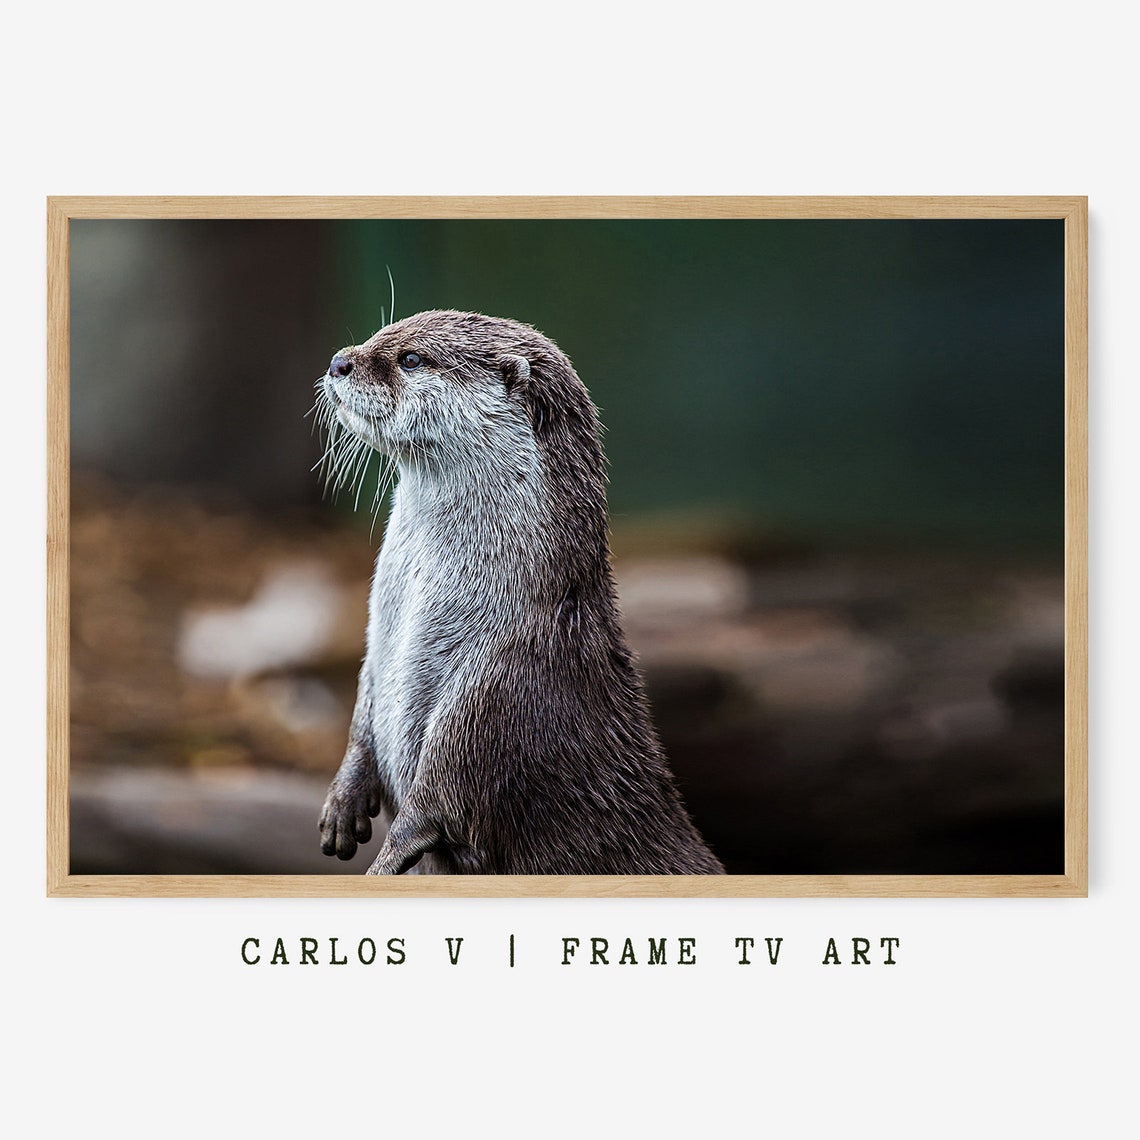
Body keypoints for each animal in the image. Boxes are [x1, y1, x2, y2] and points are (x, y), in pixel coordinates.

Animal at [316, 310, 724, 875]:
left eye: (411, 358)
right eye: (383, 333)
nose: (338, 361)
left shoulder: (495, 685)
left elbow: (435, 802)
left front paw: (383, 863)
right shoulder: (378, 645)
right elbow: (363, 708)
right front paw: (343, 802)